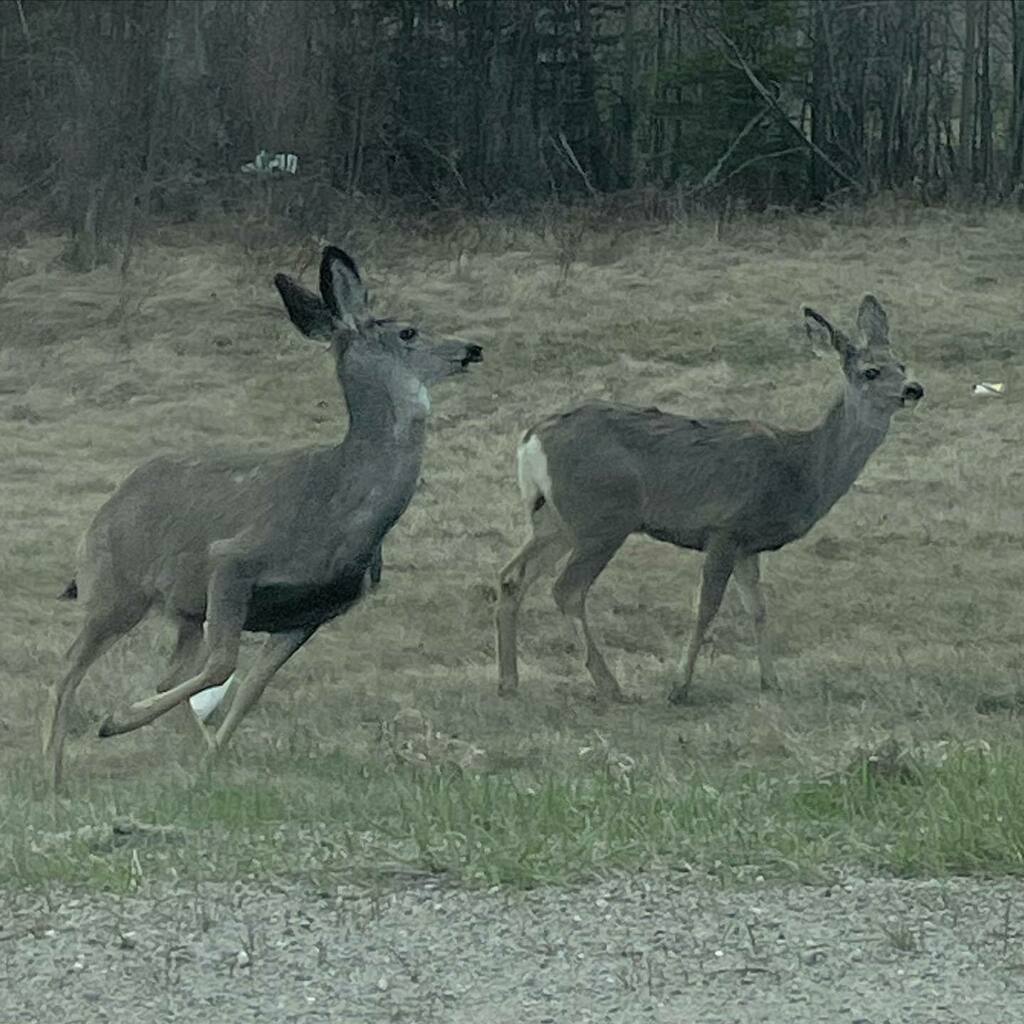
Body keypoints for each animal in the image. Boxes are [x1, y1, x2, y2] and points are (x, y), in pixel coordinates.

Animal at [41, 243, 481, 786]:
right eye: (408, 332)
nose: (473, 348)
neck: (340, 507)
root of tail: (104, 512)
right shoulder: (234, 560)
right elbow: (222, 666)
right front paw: (117, 721)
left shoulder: (311, 612)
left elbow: (251, 688)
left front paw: (209, 762)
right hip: (116, 587)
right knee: (68, 670)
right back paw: (53, 774)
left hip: (184, 609)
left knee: (166, 672)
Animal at [499, 294, 925, 704]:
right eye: (871, 371)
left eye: (902, 364)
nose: (914, 389)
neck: (802, 468)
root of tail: (532, 439)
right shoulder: (725, 527)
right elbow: (706, 607)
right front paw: (679, 687)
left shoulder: (748, 544)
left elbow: (758, 608)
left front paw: (771, 682)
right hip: (601, 517)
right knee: (567, 589)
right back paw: (610, 686)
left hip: (553, 519)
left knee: (511, 577)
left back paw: (509, 682)